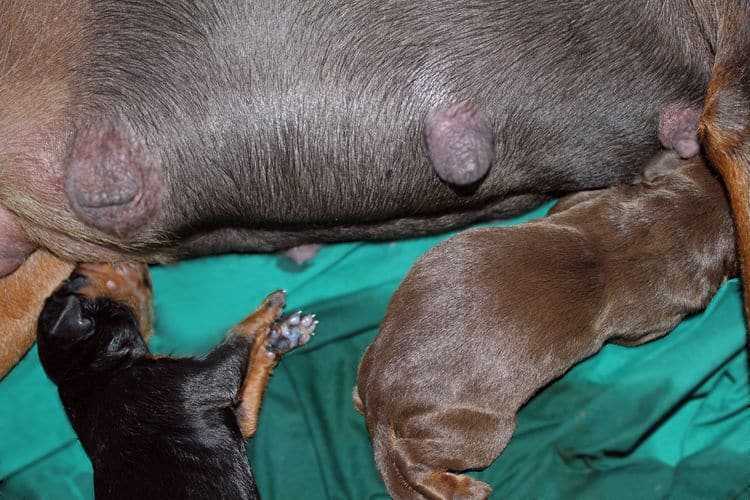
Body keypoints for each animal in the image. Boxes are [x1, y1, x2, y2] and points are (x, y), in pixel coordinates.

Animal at [35, 264, 316, 498]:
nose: (80, 262)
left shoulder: (236, 414)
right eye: (75, 280)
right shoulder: (212, 377)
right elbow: (239, 334)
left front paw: (279, 339)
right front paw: (269, 307)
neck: (91, 373)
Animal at [356, 153, 740, 500]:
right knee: (410, 457)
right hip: (484, 430)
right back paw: (463, 489)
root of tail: (379, 401)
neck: (659, 224)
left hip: (374, 352)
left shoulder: (585, 200)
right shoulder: (652, 323)